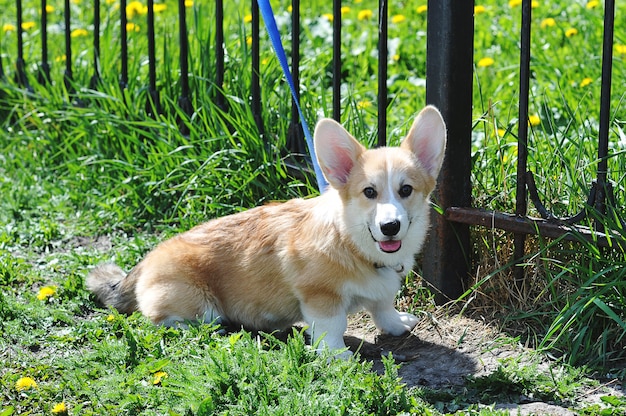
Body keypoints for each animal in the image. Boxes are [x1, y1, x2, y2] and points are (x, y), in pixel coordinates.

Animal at [85, 105, 446, 356]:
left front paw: (396, 324)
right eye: (369, 192)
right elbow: (332, 327)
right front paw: (338, 357)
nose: (390, 226)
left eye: (405, 190)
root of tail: (144, 263)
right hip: (199, 307)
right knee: (167, 320)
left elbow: (382, 307)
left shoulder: (381, 291)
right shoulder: (320, 296)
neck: (352, 243)